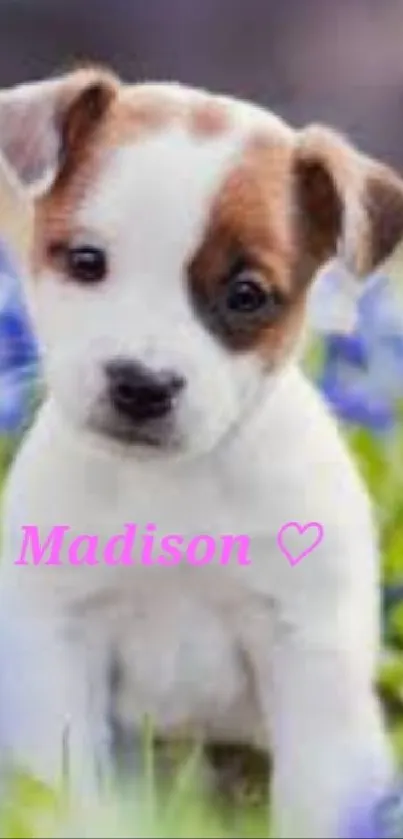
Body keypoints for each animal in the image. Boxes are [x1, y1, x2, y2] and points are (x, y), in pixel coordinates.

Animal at [0, 67, 403, 839]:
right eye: (87, 261)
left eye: (246, 294)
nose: (141, 385)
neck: (170, 485)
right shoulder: (57, 649)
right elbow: (69, 790)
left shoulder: (307, 655)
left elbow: (317, 793)